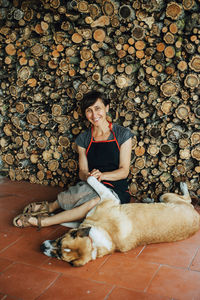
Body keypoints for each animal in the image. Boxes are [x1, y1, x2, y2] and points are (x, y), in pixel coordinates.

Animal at [40, 177, 200, 266]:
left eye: (60, 251)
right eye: (59, 245)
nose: (42, 247)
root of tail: (197, 218)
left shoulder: (109, 197)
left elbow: (93, 181)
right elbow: (75, 222)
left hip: (166, 196)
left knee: (187, 198)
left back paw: (183, 186)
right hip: (165, 197)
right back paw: (149, 200)